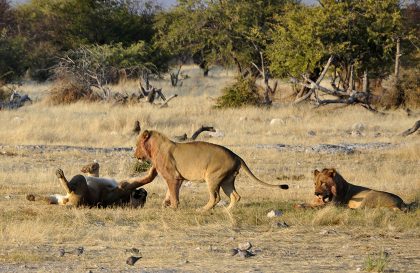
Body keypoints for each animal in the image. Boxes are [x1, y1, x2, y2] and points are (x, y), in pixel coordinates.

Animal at [26, 160, 158, 207]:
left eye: (142, 195)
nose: (142, 191)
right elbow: (96, 167)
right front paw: (89, 167)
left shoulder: (126, 185)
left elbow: (148, 178)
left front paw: (154, 170)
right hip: (59, 197)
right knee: (48, 199)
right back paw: (31, 196)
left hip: (79, 181)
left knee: (69, 187)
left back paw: (60, 174)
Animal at [135, 129, 288, 209]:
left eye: (137, 145)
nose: (135, 155)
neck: (155, 148)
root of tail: (236, 155)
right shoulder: (178, 179)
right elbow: (169, 193)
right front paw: (165, 205)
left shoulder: (173, 177)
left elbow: (173, 194)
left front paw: (173, 207)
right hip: (227, 180)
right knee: (235, 196)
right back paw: (226, 211)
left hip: (213, 177)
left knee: (216, 197)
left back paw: (202, 210)